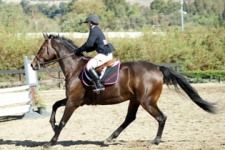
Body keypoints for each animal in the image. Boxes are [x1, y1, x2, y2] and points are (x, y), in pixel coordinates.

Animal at [30, 33, 215, 147]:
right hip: (135, 100)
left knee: (161, 117)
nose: (33, 65)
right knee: (129, 118)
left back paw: (155, 141)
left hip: (147, 102)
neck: (74, 68)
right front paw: (52, 125)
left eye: (41, 49)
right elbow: (54, 105)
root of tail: (157, 67)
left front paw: (51, 141)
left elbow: (63, 121)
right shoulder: (74, 99)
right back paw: (109, 138)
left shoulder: (73, 101)